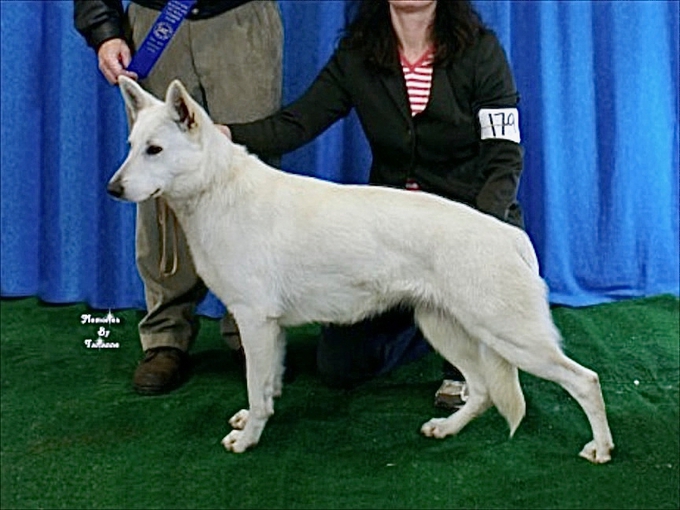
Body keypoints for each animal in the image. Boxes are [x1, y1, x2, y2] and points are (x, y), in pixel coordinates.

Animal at [107, 76, 616, 462]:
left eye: (155, 150)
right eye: (130, 146)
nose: (112, 189)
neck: (216, 188)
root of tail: (509, 235)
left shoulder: (254, 321)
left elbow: (255, 386)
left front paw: (248, 438)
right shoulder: (269, 328)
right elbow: (266, 385)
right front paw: (255, 419)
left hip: (512, 337)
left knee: (584, 381)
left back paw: (601, 449)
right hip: (445, 329)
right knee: (483, 391)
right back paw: (446, 428)